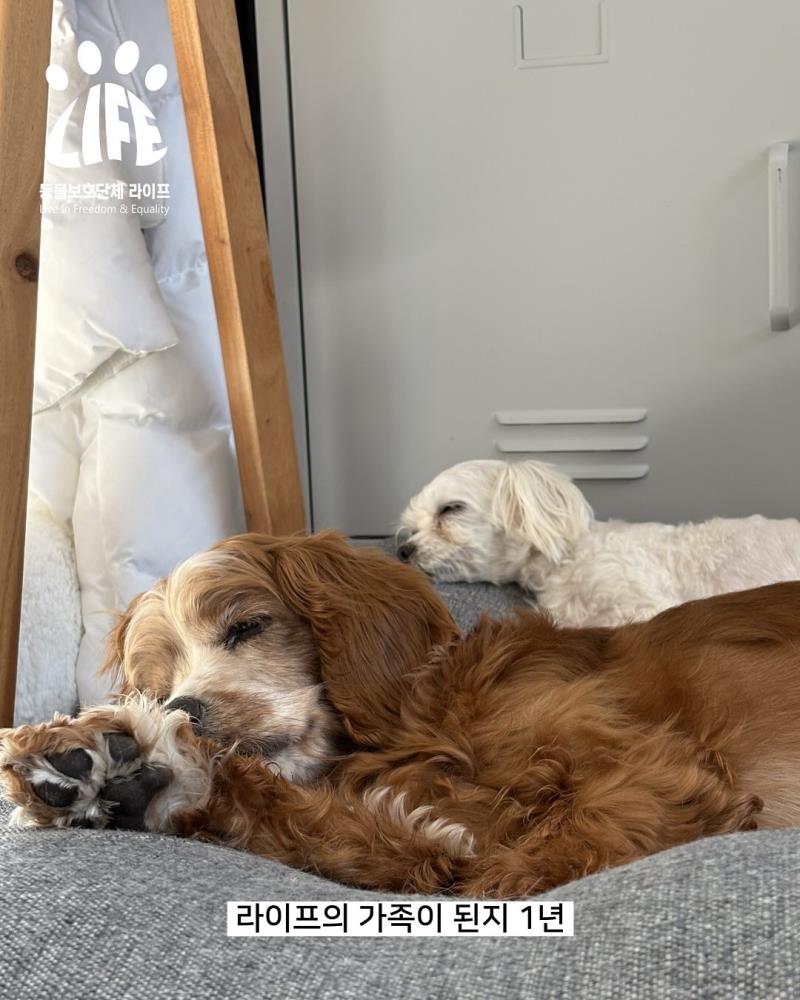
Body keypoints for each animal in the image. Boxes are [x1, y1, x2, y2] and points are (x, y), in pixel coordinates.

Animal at [2, 532, 799, 898]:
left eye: (247, 626)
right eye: (156, 684)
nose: (183, 708)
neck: (430, 718)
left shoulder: (653, 780)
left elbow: (491, 879)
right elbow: (401, 849)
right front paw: (136, 767)